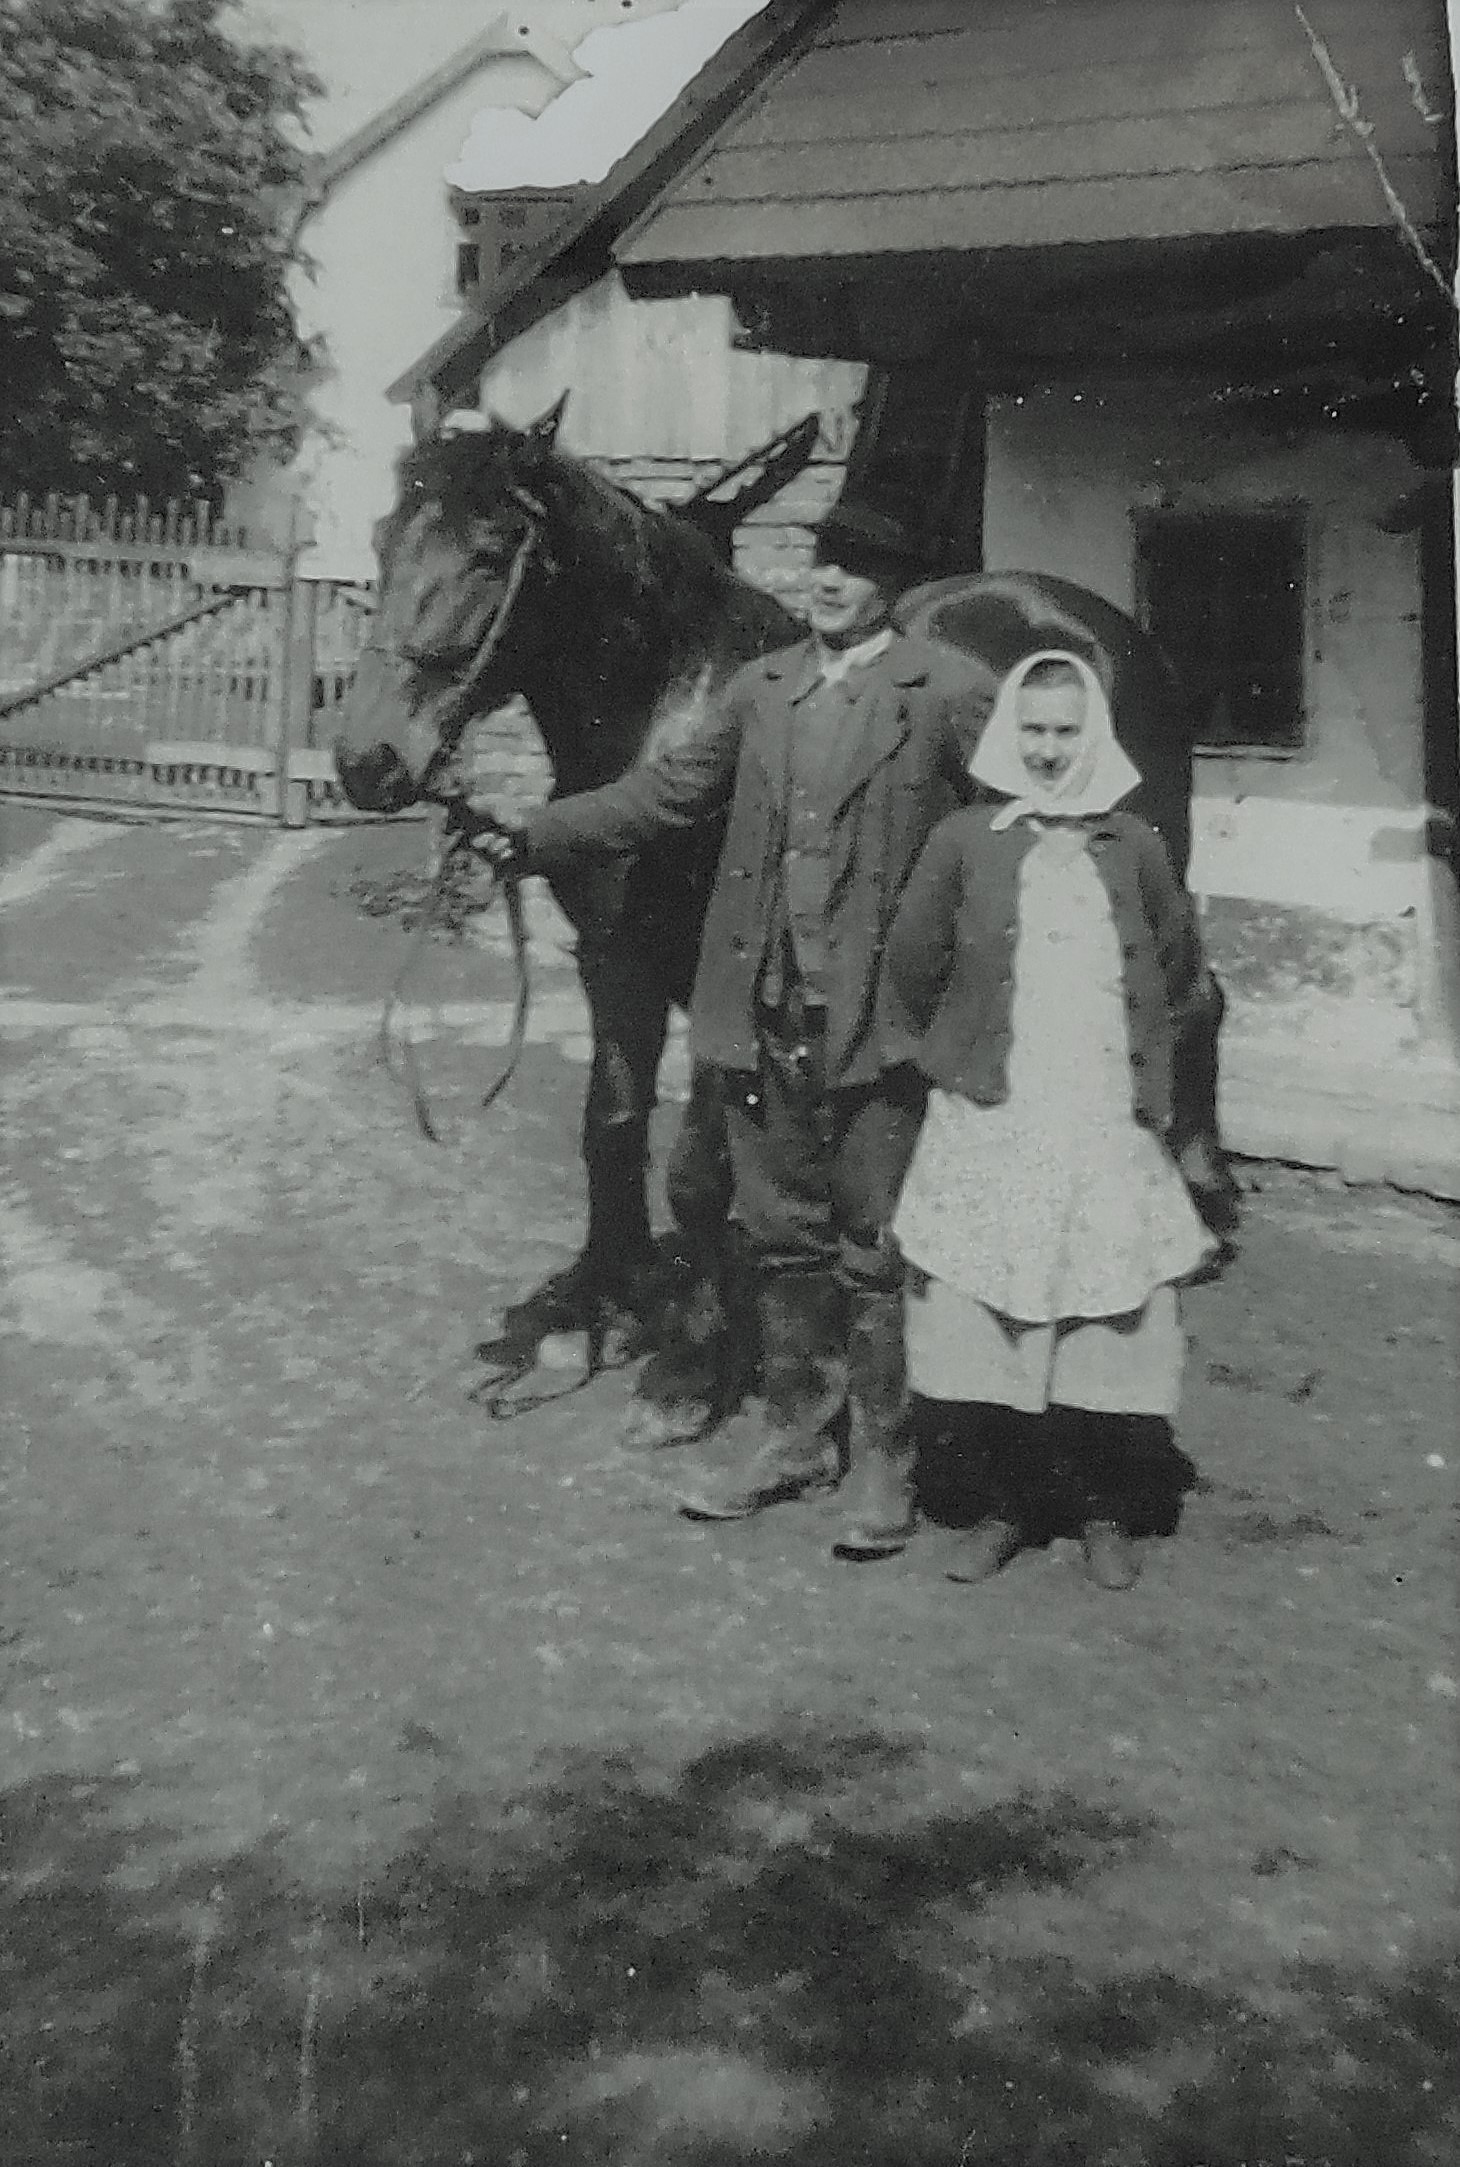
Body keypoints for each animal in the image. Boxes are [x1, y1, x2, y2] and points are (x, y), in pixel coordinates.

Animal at [333, 405, 1236, 1416]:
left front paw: (692, 1358)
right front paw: (604, 1300)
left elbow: (697, 1170)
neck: (669, 710)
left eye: (492, 553)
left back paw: (1198, 1203)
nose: (368, 760)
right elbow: (610, 1127)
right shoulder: (613, 960)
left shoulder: (719, 977)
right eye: (383, 539)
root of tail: (1100, 625)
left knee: (1190, 999)